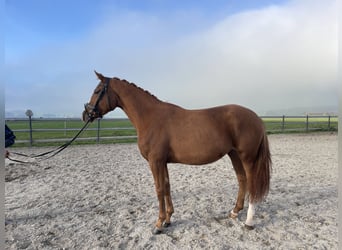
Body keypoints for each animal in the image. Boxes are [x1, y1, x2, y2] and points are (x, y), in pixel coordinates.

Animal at [83, 71, 272, 233]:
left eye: (97, 91)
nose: (86, 114)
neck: (150, 117)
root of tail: (256, 117)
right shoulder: (163, 162)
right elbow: (167, 186)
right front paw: (168, 220)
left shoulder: (155, 161)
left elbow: (159, 189)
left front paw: (158, 224)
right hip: (234, 155)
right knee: (242, 180)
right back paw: (234, 212)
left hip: (247, 158)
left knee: (252, 183)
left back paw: (249, 222)